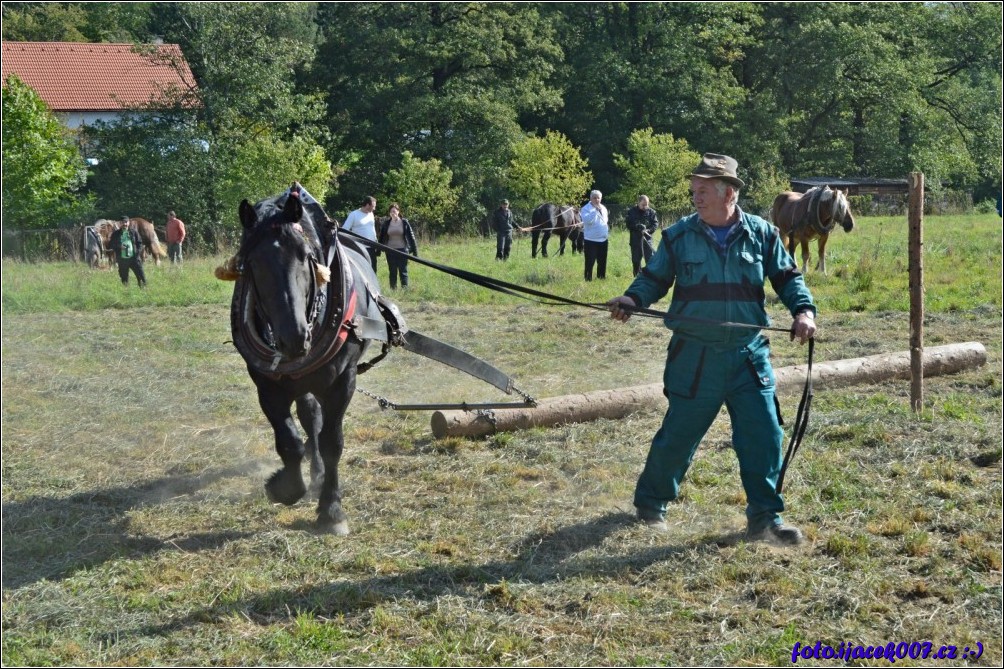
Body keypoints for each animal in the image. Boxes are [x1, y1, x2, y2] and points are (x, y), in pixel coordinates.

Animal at [215, 185, 399, 530]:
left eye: (306, 256)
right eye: (254, 263)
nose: (295, 336)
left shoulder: (342, 382)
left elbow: (332, 442)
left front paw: (331, 509)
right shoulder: (267, 386)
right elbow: (290, 440)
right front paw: (285, 487)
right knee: (309, 417)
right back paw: (313, 474)